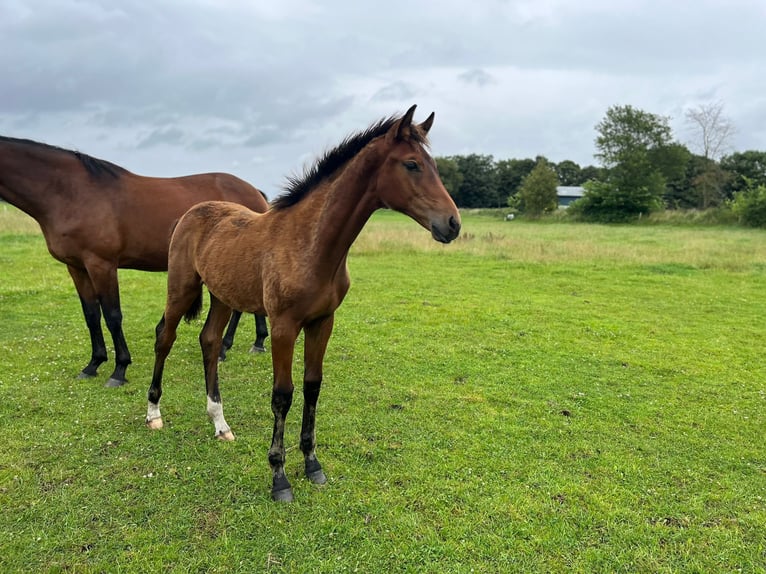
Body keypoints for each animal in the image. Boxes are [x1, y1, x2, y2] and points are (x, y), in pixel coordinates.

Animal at [0, 136, 270, 388]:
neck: (72, 192)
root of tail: (255, 191)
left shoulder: (102, 265)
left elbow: (112, 315)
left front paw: (119, 369)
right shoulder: (76, 267)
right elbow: (91, 315)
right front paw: (93, 364)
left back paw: (243, 344)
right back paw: (239, 345)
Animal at [148, 106, 462, 502]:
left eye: (432, 164)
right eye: (412, 164)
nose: (452, 224)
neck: (311, 244)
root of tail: (192, 212)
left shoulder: (322, 322)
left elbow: (313, 385)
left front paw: (312, 463)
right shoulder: (283, 326)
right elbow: (283, 395)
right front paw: (279, 477)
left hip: (222, 296)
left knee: (210, 341)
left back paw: (220, 423)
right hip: (181, 287)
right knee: (165, 337)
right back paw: (153, 413)